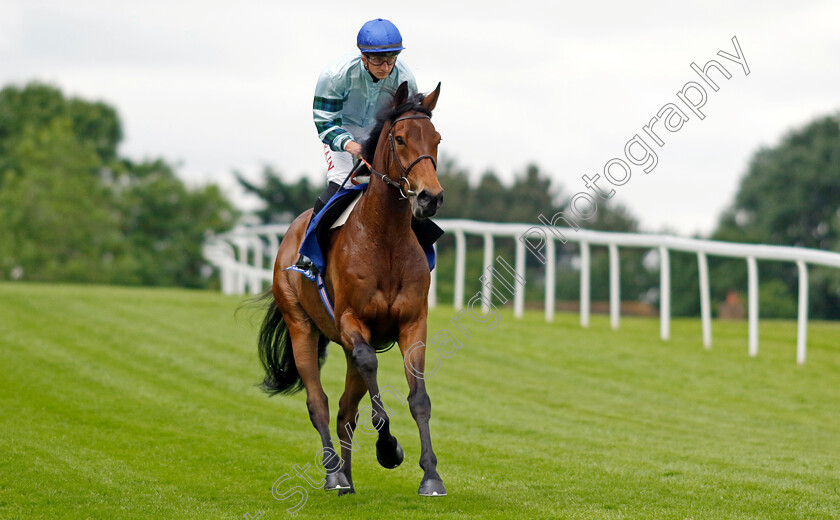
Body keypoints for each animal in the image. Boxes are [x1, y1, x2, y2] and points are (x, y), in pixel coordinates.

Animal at [258, 81, 446, 496]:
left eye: (437, 139)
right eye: (400, 138)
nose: (430, 197)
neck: (384, 238)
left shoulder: (413, 323)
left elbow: (419, 397)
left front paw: (431, 475)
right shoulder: (351, 321)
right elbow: (370, 370)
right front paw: (389, 449)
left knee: (346, 408)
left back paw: (346, 475)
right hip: (302, 326)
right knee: (320, 402)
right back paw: (333, 473)